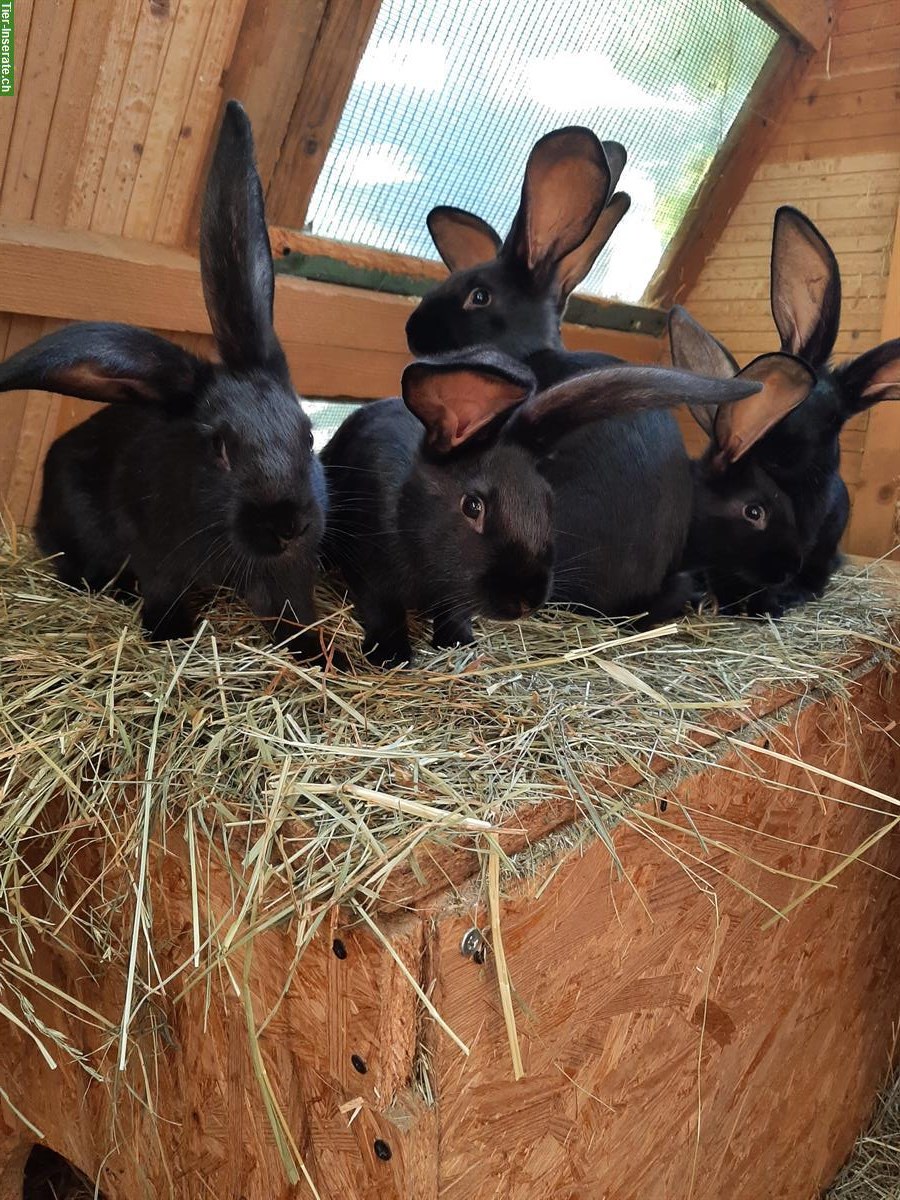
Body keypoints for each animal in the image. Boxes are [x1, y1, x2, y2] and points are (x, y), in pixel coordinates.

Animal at [1, 103, 333, 662]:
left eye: (309, 437)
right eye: (220, 449)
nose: (288, 527)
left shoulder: (286, 574)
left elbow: (292, 611)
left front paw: (322, 655)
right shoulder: (159, 555)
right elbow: (164, 589)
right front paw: (169, 632)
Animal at [324, 345, 768, 667]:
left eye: (547, 501)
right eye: (472, 506)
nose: (528, 600)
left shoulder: (451, 594)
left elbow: (454, 609)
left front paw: (457, 641)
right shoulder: (371, 571)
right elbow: (383, 611)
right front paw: (392, 657)